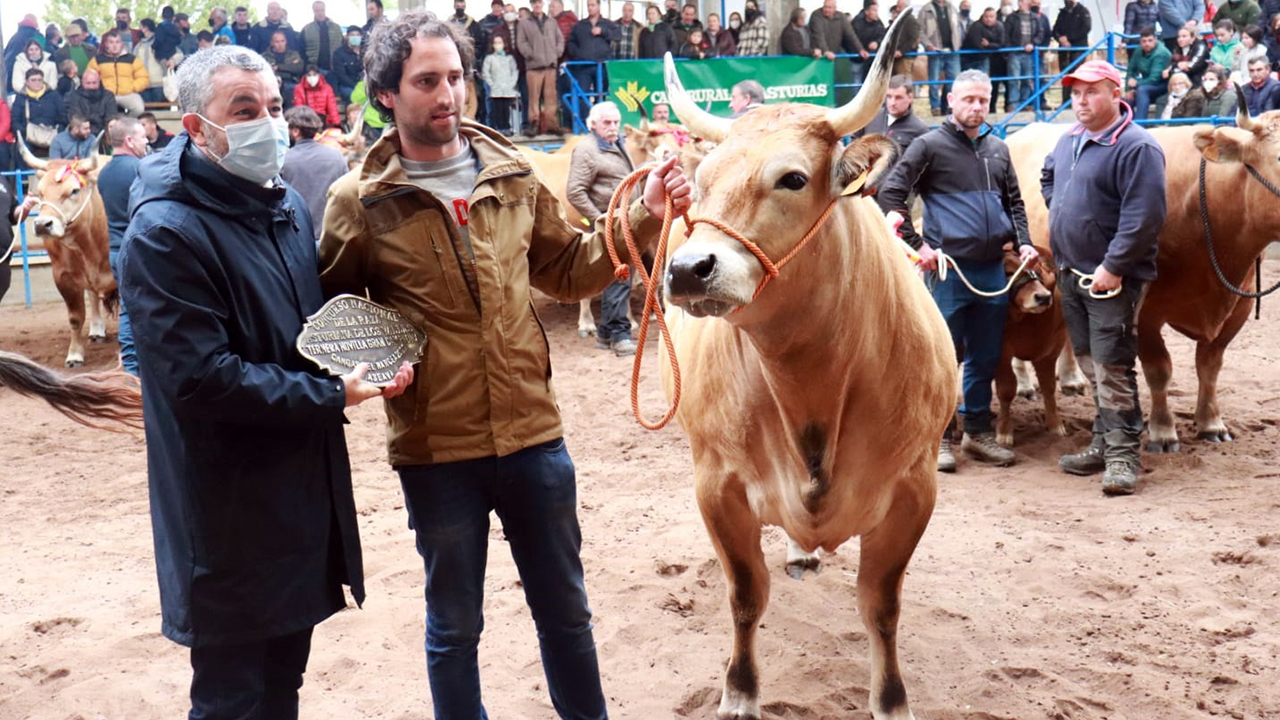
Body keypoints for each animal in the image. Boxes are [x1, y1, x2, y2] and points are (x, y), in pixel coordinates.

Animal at [18, 137, 117, 366]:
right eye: (40, 192)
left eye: (74, 191)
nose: (42, 225)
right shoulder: (62, 277)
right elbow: (75, 318)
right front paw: (74, 354)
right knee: (92, 296)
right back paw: (97, 330)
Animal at [655, 12, 957, 717]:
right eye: (702, 184)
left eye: (792, 178)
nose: (688, 270)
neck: (811, 380)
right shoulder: (716, 485)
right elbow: (745, 594)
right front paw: (740, 690)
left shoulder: (914, 490)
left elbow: (881, 606)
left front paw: (891, 698)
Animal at [1008, 96, 1280, 448]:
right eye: (1279, 157)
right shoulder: (1145, 311)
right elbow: (1159, 369)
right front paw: (1162, 430)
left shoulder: (1240, 307)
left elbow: (1209, 366)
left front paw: (1211, 423)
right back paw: (1025, 383)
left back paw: (1070, 378)